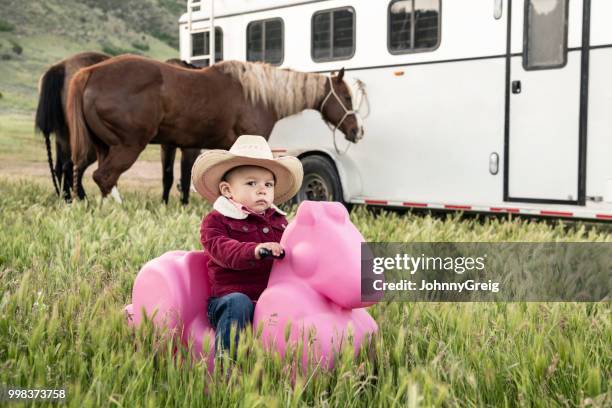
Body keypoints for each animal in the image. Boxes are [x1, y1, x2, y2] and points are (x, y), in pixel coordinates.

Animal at [35, 51, 201, 203]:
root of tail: (61, 67)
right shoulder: (189, 148)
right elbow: (185, 179)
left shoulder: (168, 146)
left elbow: (168, 176)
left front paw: (164, 204)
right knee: (72, 168)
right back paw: (84, 201)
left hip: (64, 138)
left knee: (61, 169)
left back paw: (68, 201)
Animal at [67, 55, 364, 199]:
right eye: (347, 97)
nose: (357, 131)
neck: (257, 95)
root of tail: (90, 73)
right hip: (128, 146)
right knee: (105, 177)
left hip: (104, 146)